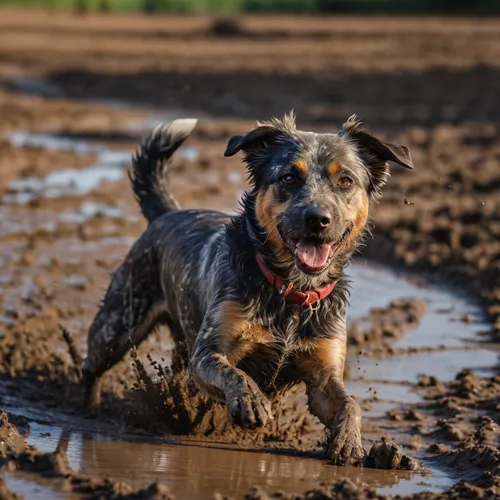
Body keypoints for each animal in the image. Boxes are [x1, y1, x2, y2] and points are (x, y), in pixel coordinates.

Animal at [82, 113, 412, 464]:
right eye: (288, 177)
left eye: (346, 181)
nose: (317, 218)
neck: (291, 291)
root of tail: (168, 213)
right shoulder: (207, 354)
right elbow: (233, 372)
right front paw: (251, 402)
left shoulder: (323, 376)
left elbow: (351, 403)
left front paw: (351, 442)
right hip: (119, 323)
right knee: (91, 367)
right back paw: (86, 408)